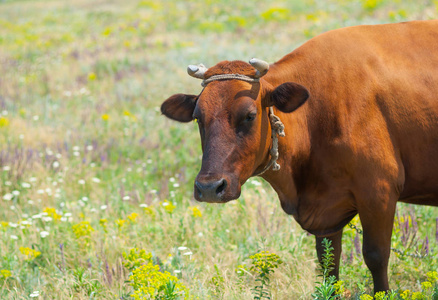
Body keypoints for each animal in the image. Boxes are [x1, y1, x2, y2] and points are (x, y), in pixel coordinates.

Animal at [161, 20, 438, 292]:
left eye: (250, 115)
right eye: (198, 117)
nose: (209, 188)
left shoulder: (379, 192)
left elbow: (376, 257)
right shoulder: (327, 214)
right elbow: (328, 265)